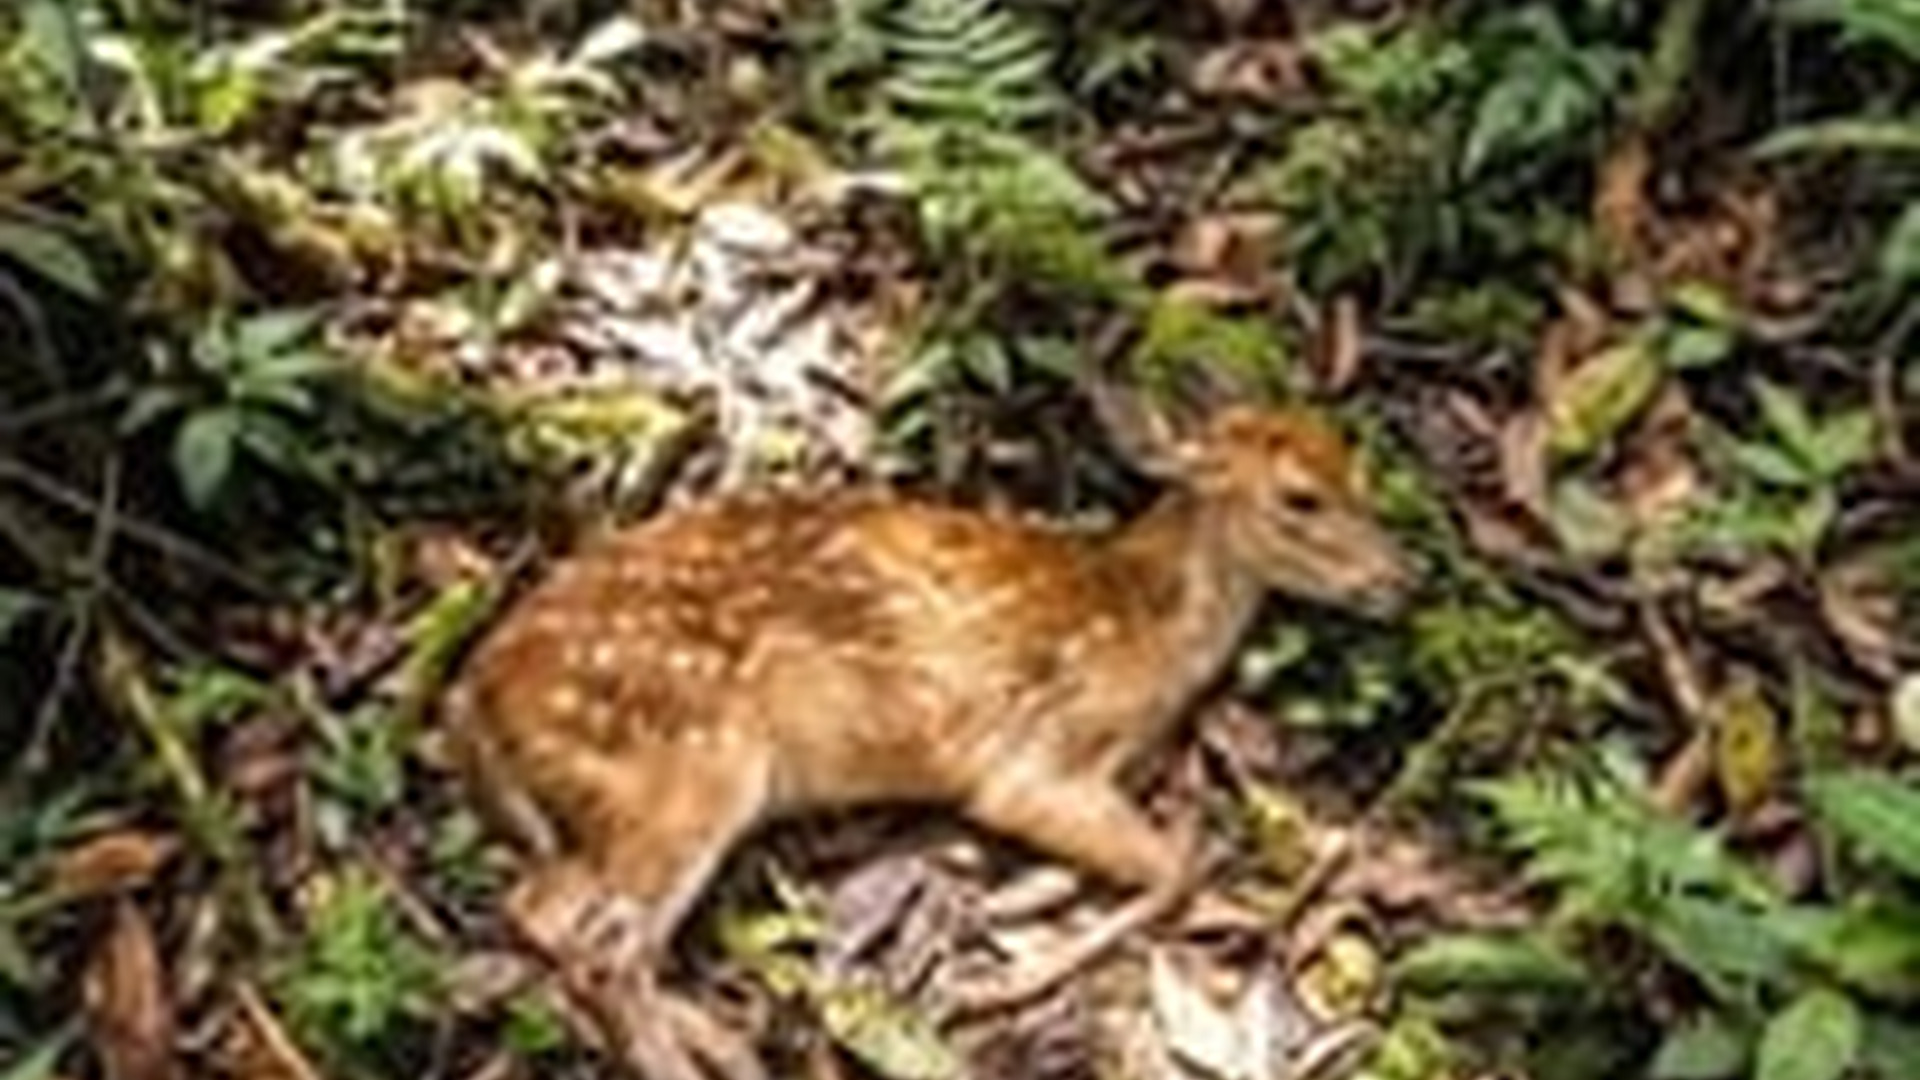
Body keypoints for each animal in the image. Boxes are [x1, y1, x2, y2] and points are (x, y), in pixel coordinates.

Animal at [440, 375, 1417, 1080]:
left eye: (1357, 469)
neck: (1153, 627)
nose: (1401, 578)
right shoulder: (1032, 761)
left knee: (542, 911)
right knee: (604, 950)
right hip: (685, 770)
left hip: (612, 800)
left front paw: (1012, 913)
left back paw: (726, 1038)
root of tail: (475, 698)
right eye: (1301, 499)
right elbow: (1184, 863)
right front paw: (1000, 982)